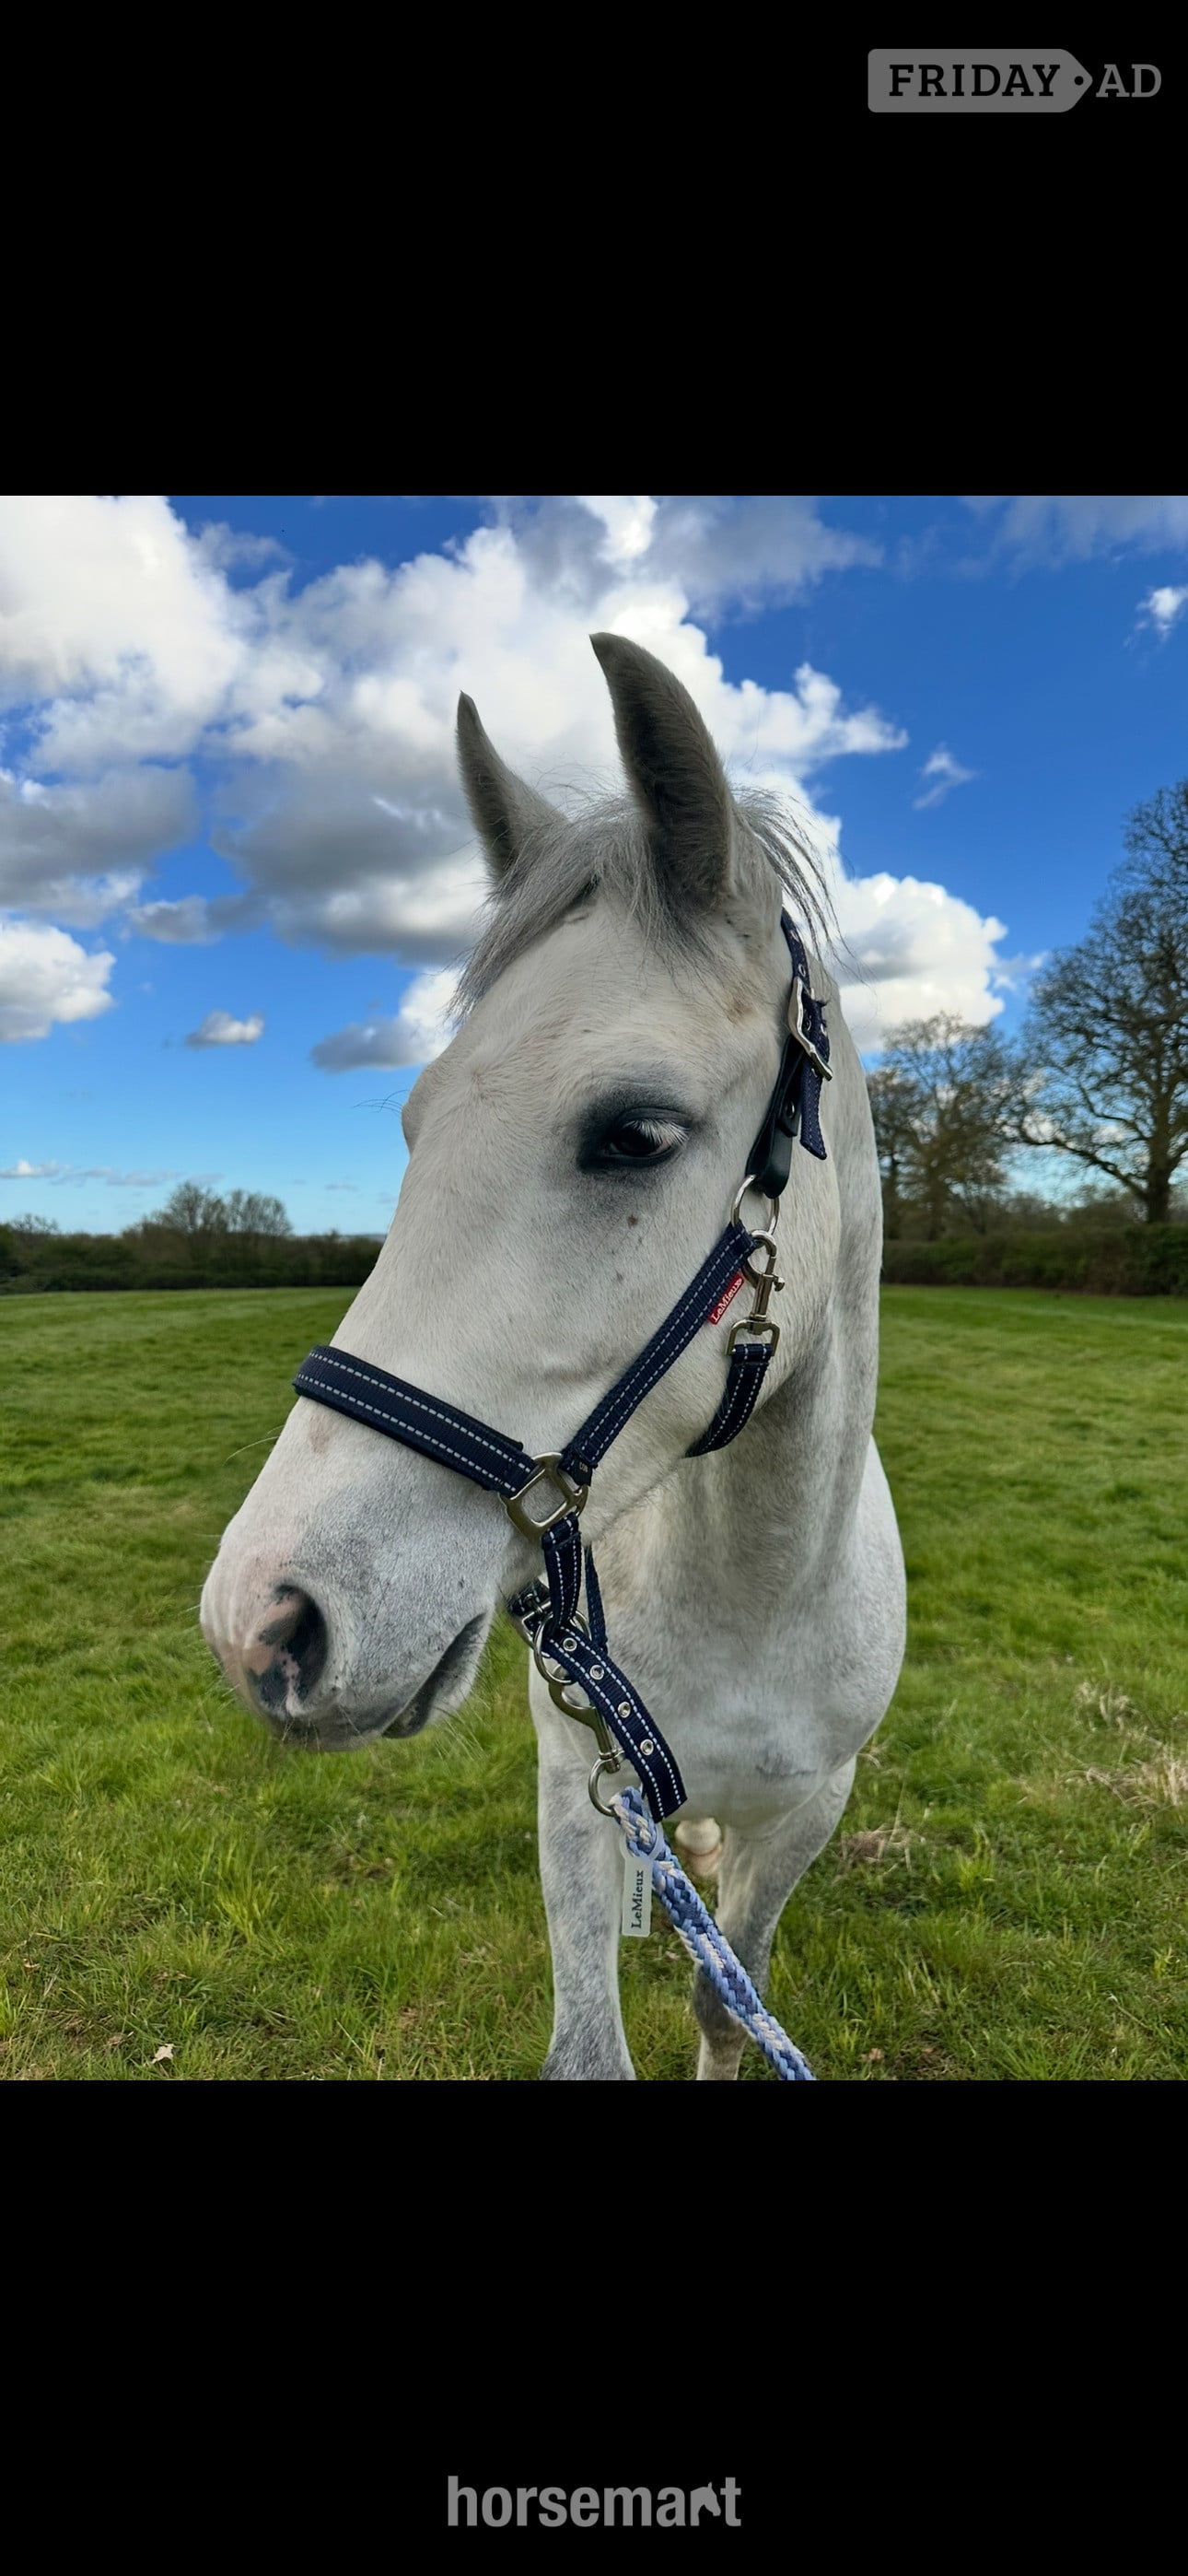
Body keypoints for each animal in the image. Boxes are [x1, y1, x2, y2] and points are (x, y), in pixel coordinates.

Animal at [200, 633, 907, 2080]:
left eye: (633, 1133)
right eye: (414, 1127)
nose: (264, 1624)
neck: (755, 1590)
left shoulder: (810, 1812)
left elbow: (728, 1999)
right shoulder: (581, 1794)